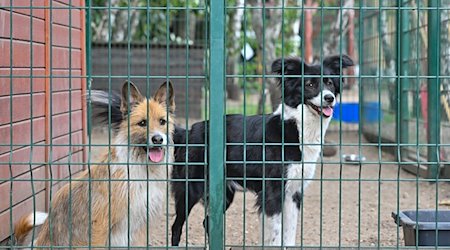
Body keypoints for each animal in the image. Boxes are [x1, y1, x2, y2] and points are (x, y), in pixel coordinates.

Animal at [14, 81, 176, 248]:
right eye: (142, 123)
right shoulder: (99, 225)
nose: (158, 139)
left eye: (162, 121)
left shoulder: (141, 226)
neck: (141, 169)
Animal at [171, 54, 354, 246]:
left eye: (330, 83)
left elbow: (289, 235)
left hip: (224, 193)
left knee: (206, 222)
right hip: (190, 188)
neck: (296, 127)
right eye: (310, 84)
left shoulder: (293, 193)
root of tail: (189, 131)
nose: (329, 98)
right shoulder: (273, 193)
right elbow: (275, 236)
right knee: (176, 227)